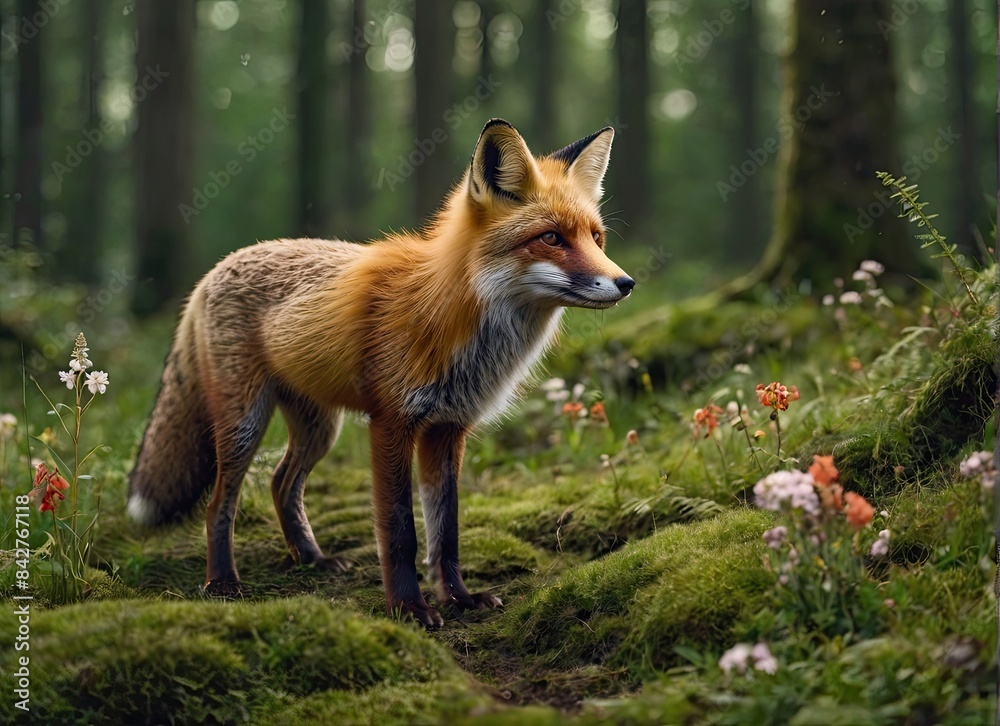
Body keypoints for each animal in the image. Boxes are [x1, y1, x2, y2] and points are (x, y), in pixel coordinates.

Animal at [127, 119, 634, 627]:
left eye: (596, 238)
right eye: (551, 238)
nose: (626, 283)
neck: (453, 318)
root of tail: (214, 270)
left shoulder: (448, 427)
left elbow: (446, 530)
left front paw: (459, 597)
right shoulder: (391, 422)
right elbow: (401, 531)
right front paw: (408, 608)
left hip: (319, 429)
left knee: (281, 483)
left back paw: (312, 559)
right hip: (244, 424)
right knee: (220, 503)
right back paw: (222, 582)